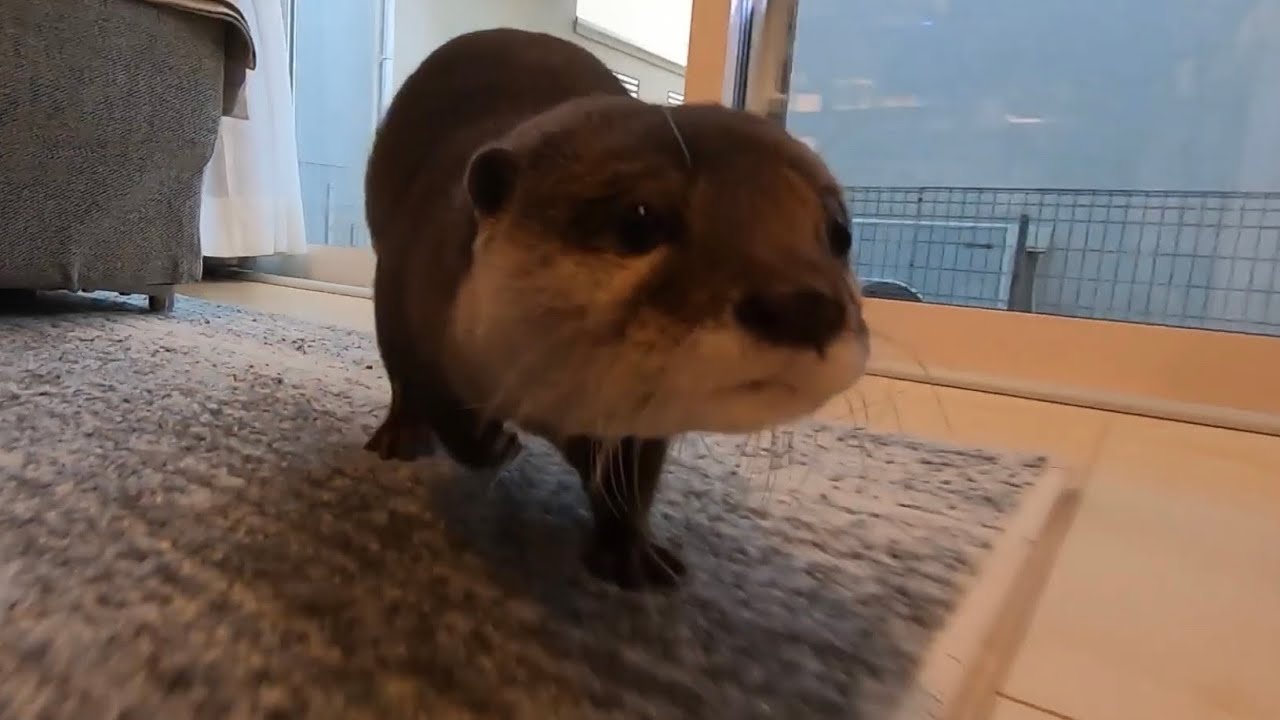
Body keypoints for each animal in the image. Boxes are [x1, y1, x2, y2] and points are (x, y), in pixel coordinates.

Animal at [363, 28, 870, 591]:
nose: (803, 307)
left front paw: (631, 552)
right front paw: (492, 445)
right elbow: (437, 401)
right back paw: (400, 437)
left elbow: (631, 482)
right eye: (639, 219)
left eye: (839, 232)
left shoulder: (635, 430)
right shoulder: (409, 300)